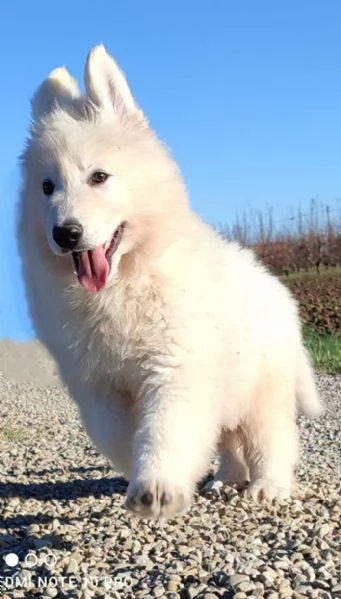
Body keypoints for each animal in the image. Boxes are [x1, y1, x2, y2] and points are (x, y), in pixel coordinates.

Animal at [17, 44, 322, 516]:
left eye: (98, 177)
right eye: (47, 187)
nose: (65, 234)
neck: (125, 280)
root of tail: (274, 284)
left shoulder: (177, 367)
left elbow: (164, 427)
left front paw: (158, 484)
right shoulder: (95, 384)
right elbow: (117, 437)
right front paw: (147, 476)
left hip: (262, 390)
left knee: (271, 441)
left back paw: (268, 486)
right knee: (228, 440)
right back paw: (225, 478)